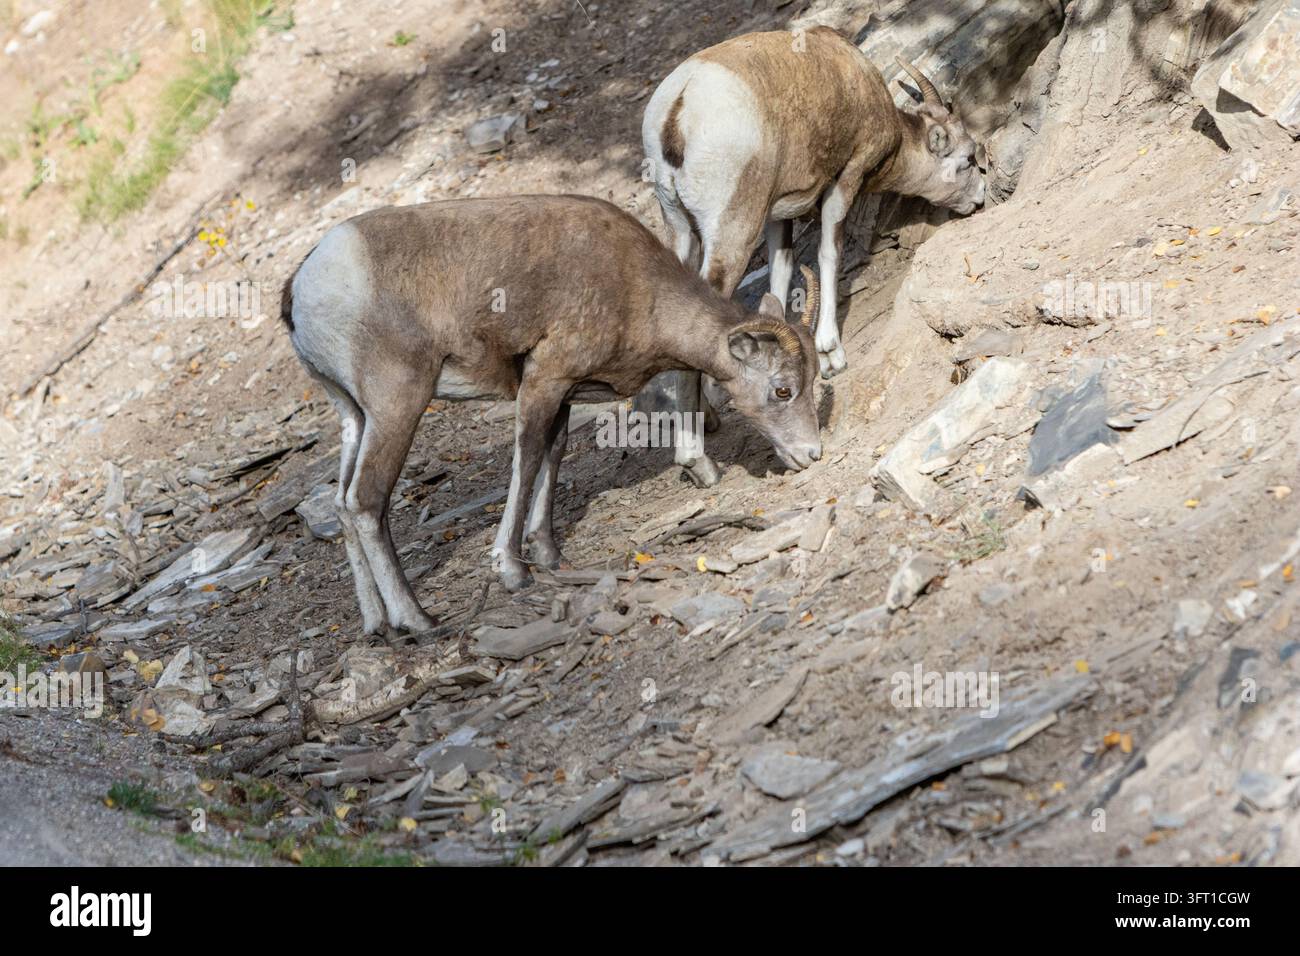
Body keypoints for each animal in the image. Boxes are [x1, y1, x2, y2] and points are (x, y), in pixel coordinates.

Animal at [282, 195, 822, 635]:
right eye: (782, 389)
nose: (811, 454)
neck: (634, 286)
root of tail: (304, 286)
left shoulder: (564, 391)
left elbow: (552, 455)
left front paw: (548, 553)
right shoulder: (543, 380)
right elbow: (526, 460)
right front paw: (514, 570)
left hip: (354, 416)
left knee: (341, 504)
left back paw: (377, 624)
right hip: (398, 404)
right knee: (365, 501)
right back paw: (418, 620)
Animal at [642, 26, 985, 486]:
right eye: (967, 159)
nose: (980, 198)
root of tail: (676, 110)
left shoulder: (778, 213)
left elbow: (781, 274)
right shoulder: (846, 177)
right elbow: (828, 252)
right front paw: (831, 354)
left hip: (678, 228)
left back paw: (709, 420)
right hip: (731, 234)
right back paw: (698, 462)